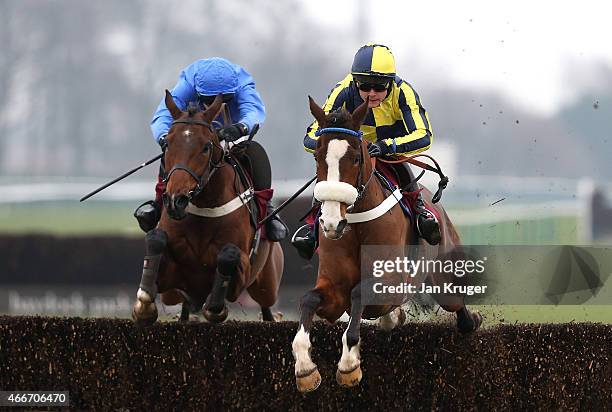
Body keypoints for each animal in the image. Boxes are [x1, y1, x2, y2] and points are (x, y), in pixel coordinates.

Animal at [292, 96, 482, 392]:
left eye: (356, 158)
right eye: (317, 157)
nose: (332, 223)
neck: (357, 225)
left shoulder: (390, 281)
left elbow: (359, 293)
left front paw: (348, 365)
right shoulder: (333, 288)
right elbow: (310, 299)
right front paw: (305, 369)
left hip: (443, 277)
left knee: (457, 306)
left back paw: (471, 319)